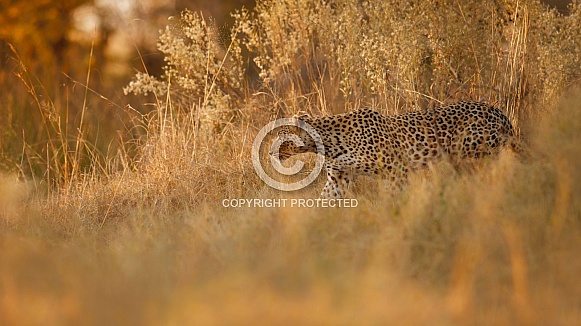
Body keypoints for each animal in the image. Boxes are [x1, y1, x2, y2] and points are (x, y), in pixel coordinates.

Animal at [274, 102, 520, 199]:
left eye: (282, 136)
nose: (269, 153)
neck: (328, 144)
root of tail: (500, 114)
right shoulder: (338, 179)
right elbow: (322, 201)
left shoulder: (396, 169)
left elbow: (394, 197)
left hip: (469, 151)